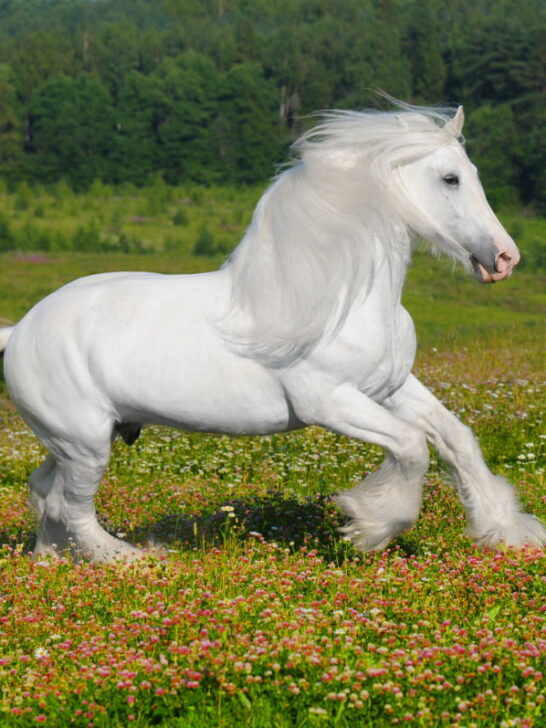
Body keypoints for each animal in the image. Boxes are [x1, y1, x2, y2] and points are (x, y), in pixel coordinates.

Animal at [1, 102, 544, 560]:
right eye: (451, 178)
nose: (504, 258)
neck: (343, 298)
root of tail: (20, 329)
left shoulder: (389, 389)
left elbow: (456, 438)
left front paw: (509, 533)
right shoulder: (330, 402)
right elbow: (412, 447)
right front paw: (367, 525)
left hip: (77, 441)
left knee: (44, 492)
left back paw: (50, 561)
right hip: (85, 442)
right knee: (71, 506)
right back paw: (133, 561)